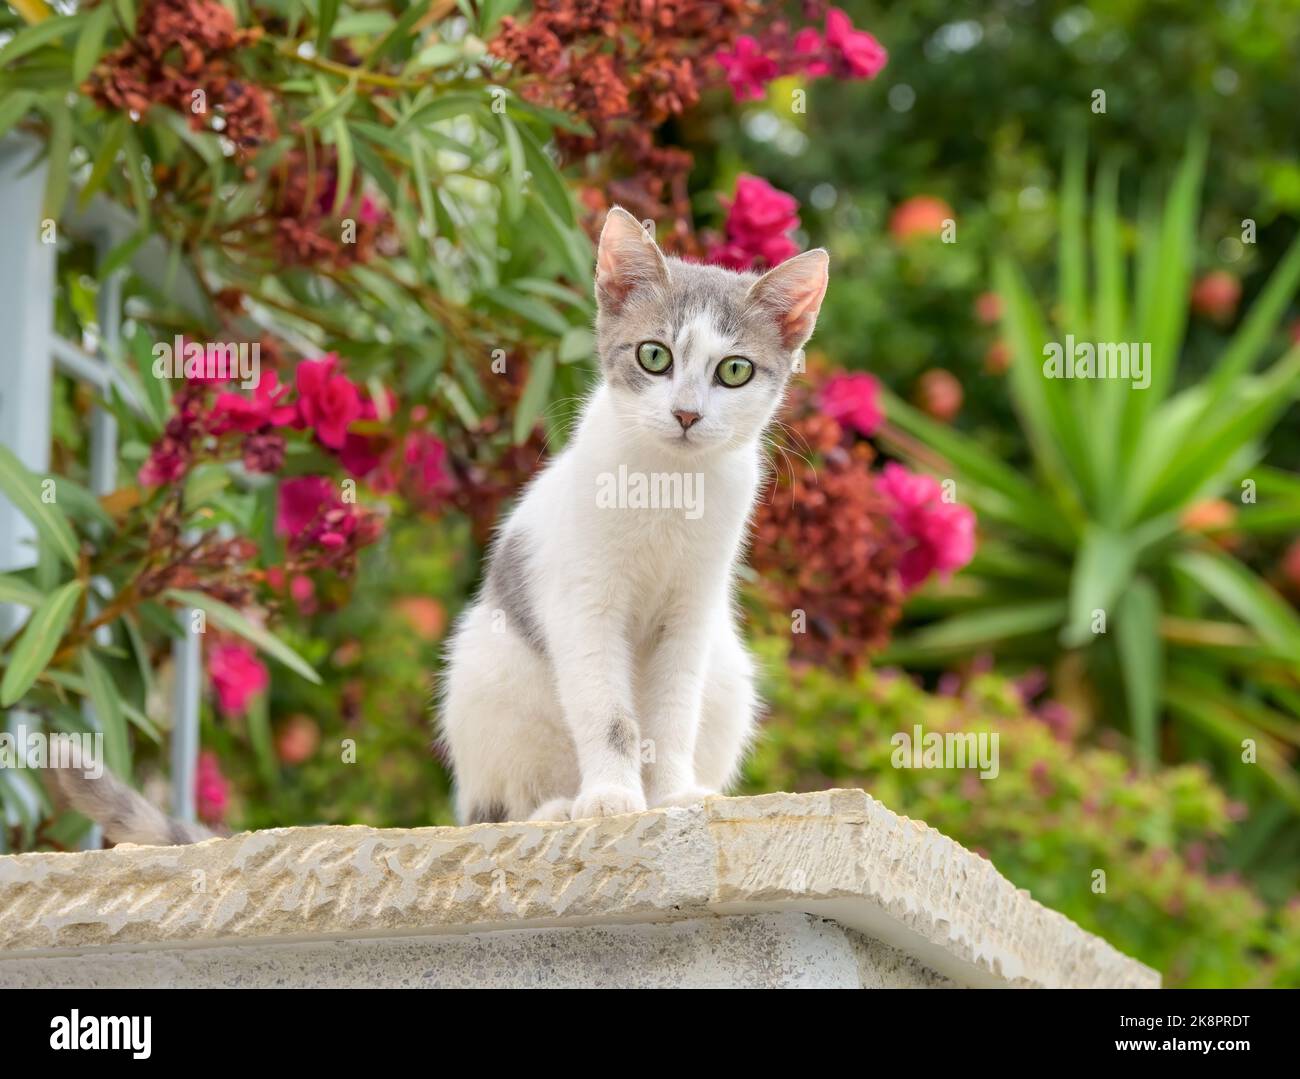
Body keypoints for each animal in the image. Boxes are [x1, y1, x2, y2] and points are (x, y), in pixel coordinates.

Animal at [434, 206, 821, 821]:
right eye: (654, 355)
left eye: (734, 370)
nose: (686, 414)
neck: (667, 483)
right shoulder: (584, 604)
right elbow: (606, 712)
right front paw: (611, 798)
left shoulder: (692, 612)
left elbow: (675, 712)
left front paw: (674, 796)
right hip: (484, 672)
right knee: (500, 803)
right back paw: (555, 809)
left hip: (728, 673)